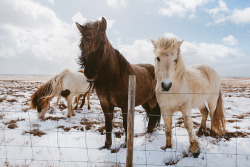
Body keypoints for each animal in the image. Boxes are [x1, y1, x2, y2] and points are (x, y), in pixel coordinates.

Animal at [75, 17, 160, 149]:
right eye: (82, 45)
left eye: (102, 43)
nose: (89, 73)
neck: (113, 78)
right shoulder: (105, 104)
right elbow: (108, 124)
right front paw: (107, 145)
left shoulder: (125, 105)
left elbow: (126, 124)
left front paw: (126, 145)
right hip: (145, 101)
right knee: (151, 114)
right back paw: (148, 132)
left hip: (153, 100)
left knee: (154, 113)